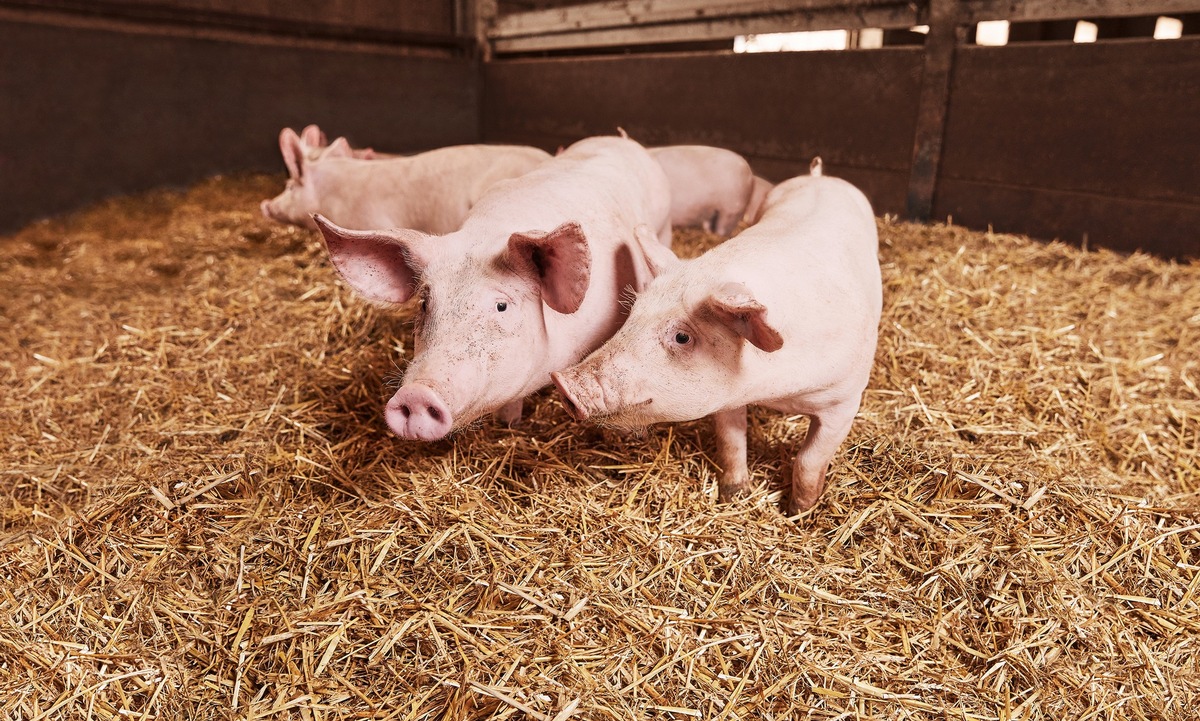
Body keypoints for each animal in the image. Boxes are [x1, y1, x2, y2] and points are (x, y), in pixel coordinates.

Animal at [312, 134, 676, 439]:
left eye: (501, 306)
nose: (416, 394)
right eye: (425, 304)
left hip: (664, 226)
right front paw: (509, 425)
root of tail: (620, 138)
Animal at [552, 160, 883, 513]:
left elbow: (809, 460)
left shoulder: (845, 399)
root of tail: (820, 176)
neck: (774, 392)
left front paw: (797, 512)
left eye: (682, 337)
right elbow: (731, 441)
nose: (562, 381)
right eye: (633, 313)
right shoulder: (727, 397)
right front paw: (733, 496)